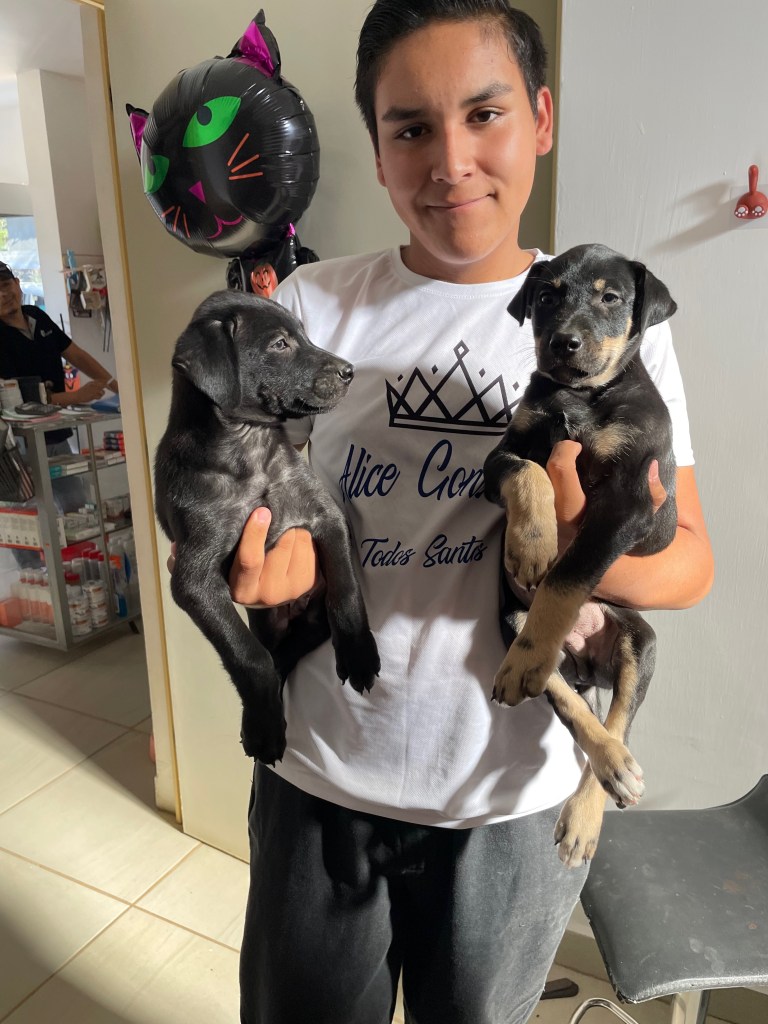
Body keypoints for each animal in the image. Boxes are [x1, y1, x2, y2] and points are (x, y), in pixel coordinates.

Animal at [154, 290, 380, 765]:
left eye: (305, 335)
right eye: (280, 344)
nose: (350, 370)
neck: (249, 449)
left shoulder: (326, 517)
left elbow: (346, 592)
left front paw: (358, 653)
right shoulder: (193, 578)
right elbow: (247, 656)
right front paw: (263, 729)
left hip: (311, 621)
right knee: (269, 656)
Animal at [484, 243, 678, 866]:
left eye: (610, 298)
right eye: (546, 297)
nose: (562, 343)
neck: (582, 396)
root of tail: (587, 660)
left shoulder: (631, 502)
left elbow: (567, 574)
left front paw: (544, 558)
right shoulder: (503, 455)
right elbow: (530, 472)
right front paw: (532, 544)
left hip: (641, 640)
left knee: (619, 721)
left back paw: (592, 805)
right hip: (511, 622)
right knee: (572, 705)